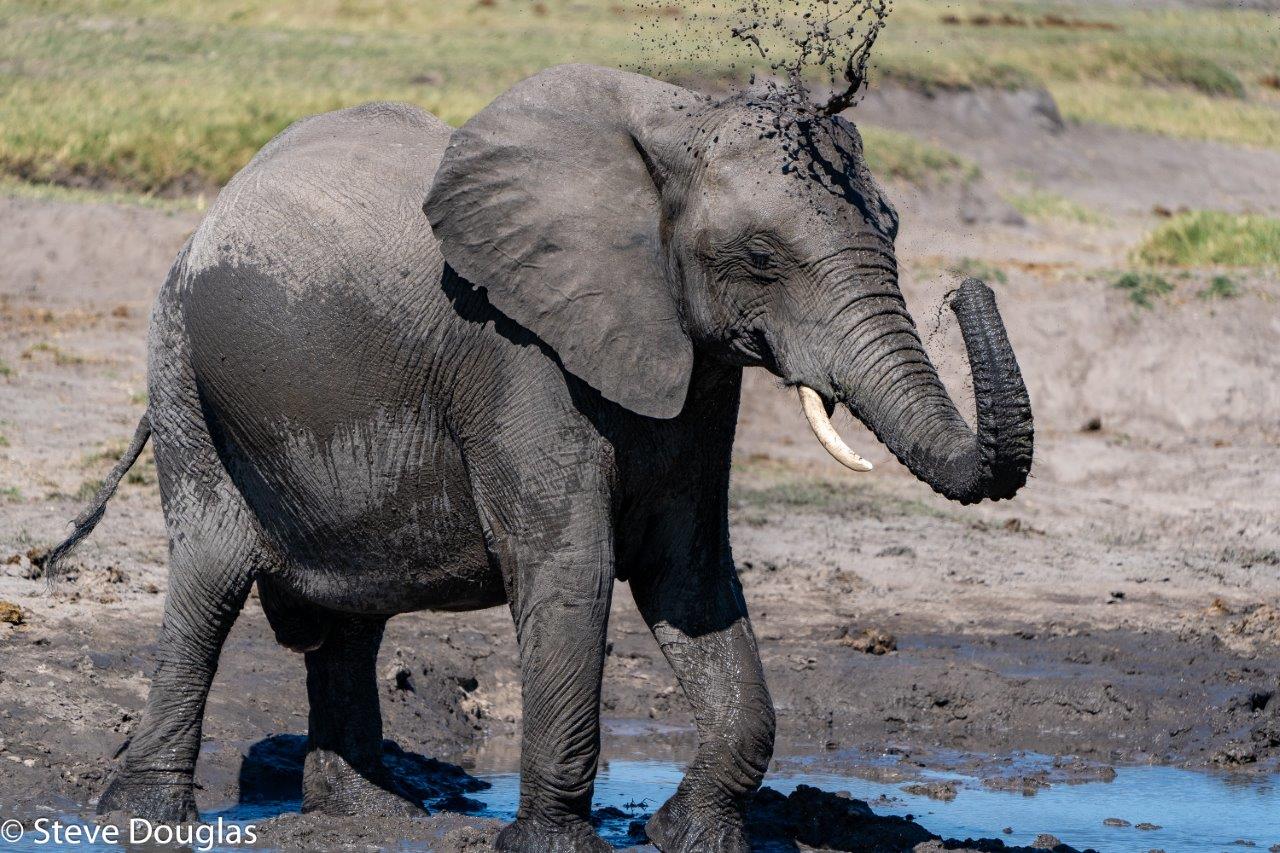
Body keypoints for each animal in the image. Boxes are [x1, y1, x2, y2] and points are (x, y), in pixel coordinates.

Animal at [47, 64, 1032, 851]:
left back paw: (371, 815)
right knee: (210, 576)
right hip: (181, 364)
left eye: (893, 228)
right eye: (761, 256)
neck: (675, 121)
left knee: (351, 616)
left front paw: (688, 835)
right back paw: (147, 823)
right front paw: (557, 845)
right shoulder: (517, 357)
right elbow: (571, 568)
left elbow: (691, 575)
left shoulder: (694, 369)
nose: (967, 286)